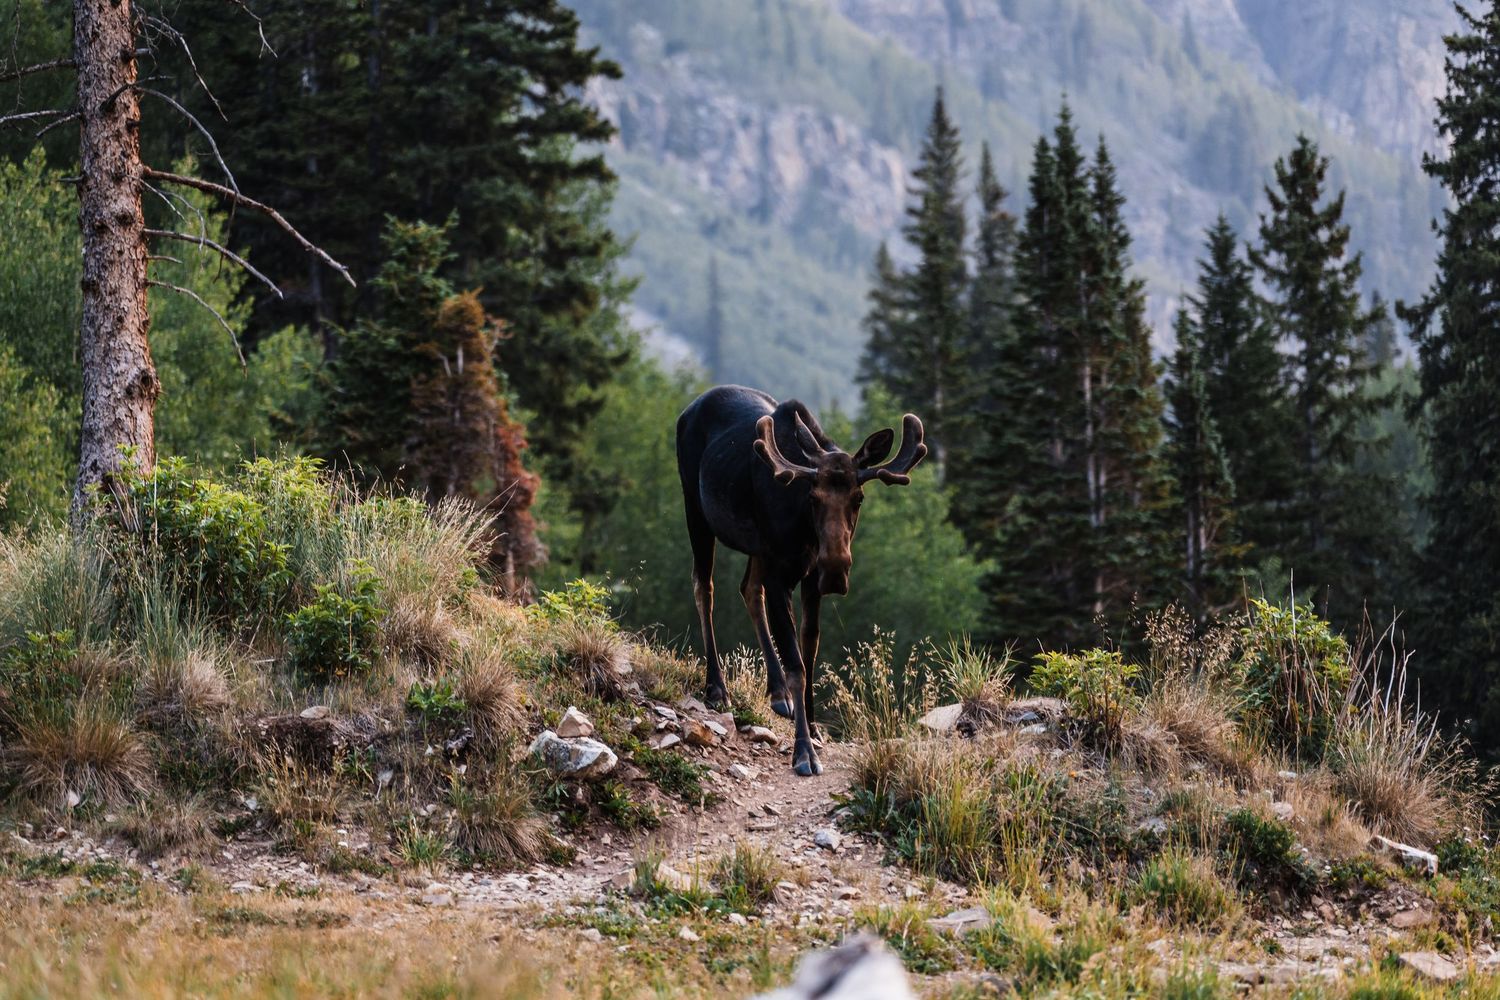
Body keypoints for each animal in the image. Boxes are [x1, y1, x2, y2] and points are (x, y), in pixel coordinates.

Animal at [675, 385, 927, 776]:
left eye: (858, 497)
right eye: (813, 496)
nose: (837, 569)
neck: (806, 534)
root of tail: (687, 410)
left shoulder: (808, 577)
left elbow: (810, 649)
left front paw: (812, 725)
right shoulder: (781, 573)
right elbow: (796, 662)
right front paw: (803, 752)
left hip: (757, 548)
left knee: (748, 589)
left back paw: (777, 693)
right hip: (696, 508)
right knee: (705, 586)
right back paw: (717, 688)